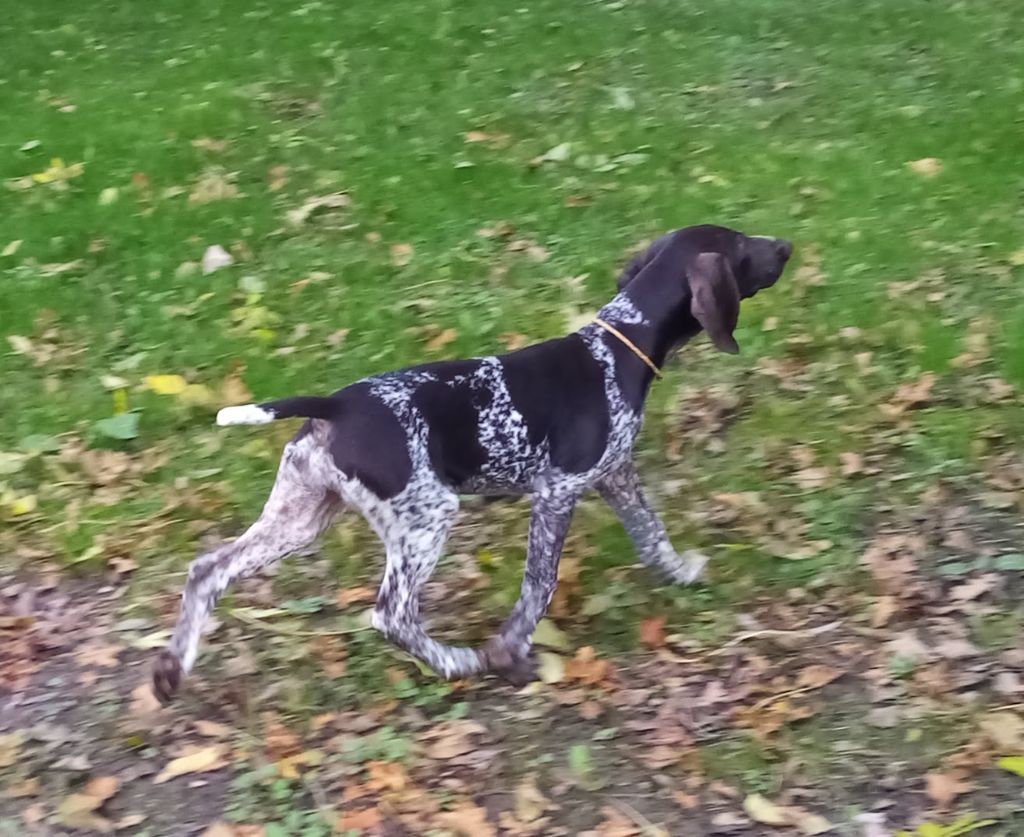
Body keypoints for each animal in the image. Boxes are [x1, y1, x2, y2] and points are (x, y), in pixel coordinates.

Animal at [151, 223, 790, 700]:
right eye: (742, 246)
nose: (785, 245)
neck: (619, 344)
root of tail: (336, 403)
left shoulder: (616, 476)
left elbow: (652, 535)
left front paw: (681, 573)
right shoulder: (558, 492)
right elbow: (540, 585)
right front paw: (508, 650)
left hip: (301, 517)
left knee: (207, 570)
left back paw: (170, 672)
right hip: (426, 521)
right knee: (392, 615)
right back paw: (458, 662)